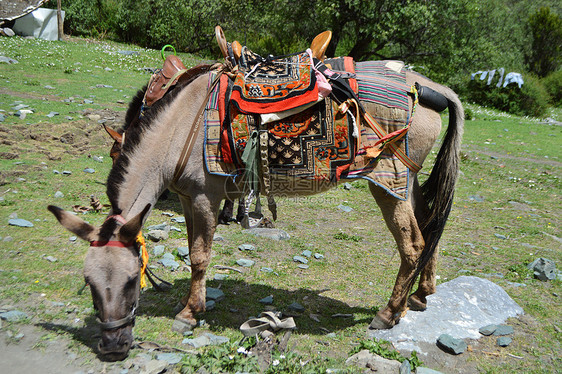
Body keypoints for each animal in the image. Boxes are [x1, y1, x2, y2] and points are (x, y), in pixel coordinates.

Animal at [47, 60, 460, 358]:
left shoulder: (205, 198)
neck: (181, 129)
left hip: (389, 183)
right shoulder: (188, 199)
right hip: (407, 182)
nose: (113, 348)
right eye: (89, 283)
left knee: (413, 245)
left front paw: (189, 314)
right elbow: (193, 250)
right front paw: (189, 304)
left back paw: (388, 314)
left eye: (132, 281)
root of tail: (430, 88)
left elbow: (199, 256)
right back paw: (419, 297)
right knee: (429, 228)